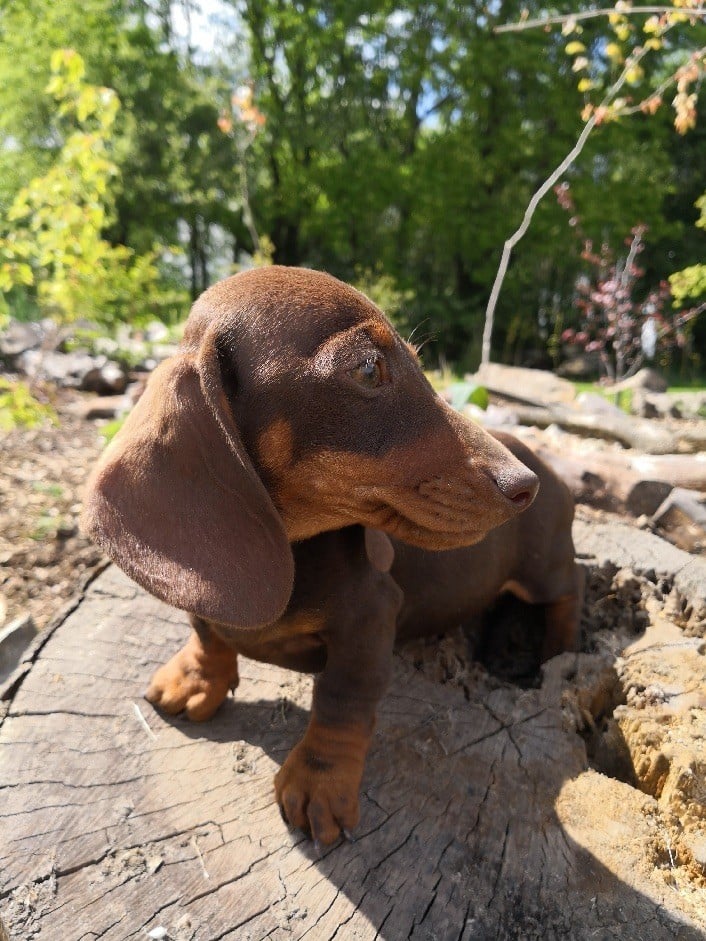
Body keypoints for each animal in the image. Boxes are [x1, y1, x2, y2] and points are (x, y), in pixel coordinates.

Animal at [82, 262, 580, 844]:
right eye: (368, 369)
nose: (523, 487)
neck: (296, 550)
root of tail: (552, 468)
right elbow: (207, 631)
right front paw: (195, 679)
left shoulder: (370, 617)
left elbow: (342, 699)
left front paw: (320, 781)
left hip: (543, 570)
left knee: (569, 592)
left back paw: (556, 648)